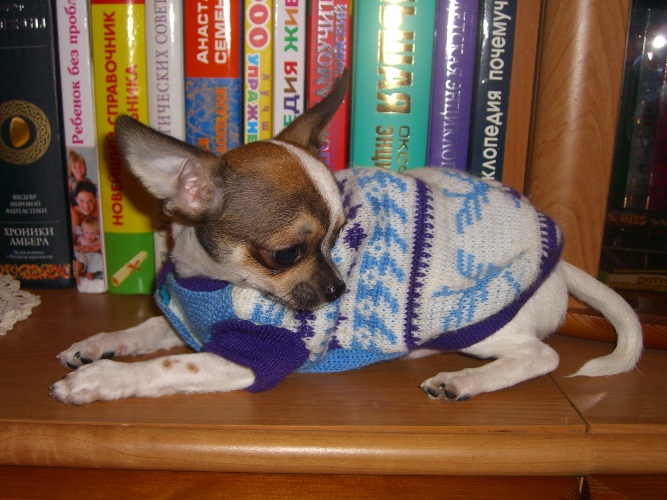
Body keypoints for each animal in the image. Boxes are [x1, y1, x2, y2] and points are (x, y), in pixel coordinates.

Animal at [50, 73, 642, 405]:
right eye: (287, 253)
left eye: (339, 237)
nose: (339, 290)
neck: (209, 280)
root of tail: (560, 264)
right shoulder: (185, 320)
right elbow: (148, 330)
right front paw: (97, 345)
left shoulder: (247, 357)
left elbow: (167, 366)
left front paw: (98, 380)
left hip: (477, 323)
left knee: (541, 356)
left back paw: (464, 380)